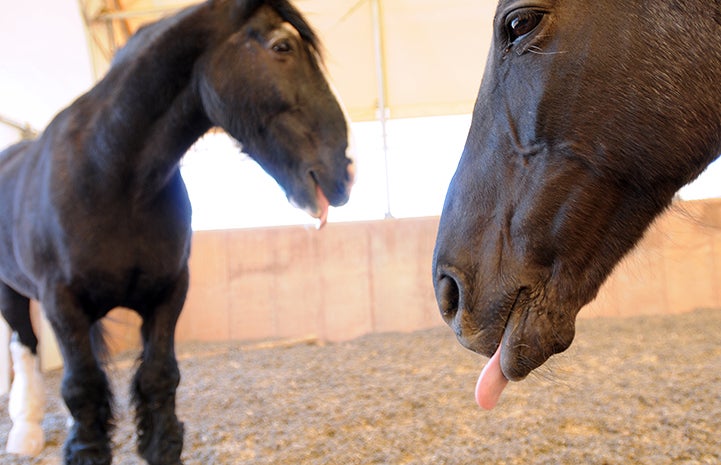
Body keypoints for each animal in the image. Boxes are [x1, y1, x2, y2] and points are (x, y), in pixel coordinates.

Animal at [0, 1, 352, 462]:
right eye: (282, 46)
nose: (345, 173)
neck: (112, 175)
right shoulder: (62, 302)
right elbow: (82, 386)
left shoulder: (168, 292)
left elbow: (158, 378)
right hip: (13, 292)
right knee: (24, 348)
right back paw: (25, 432)